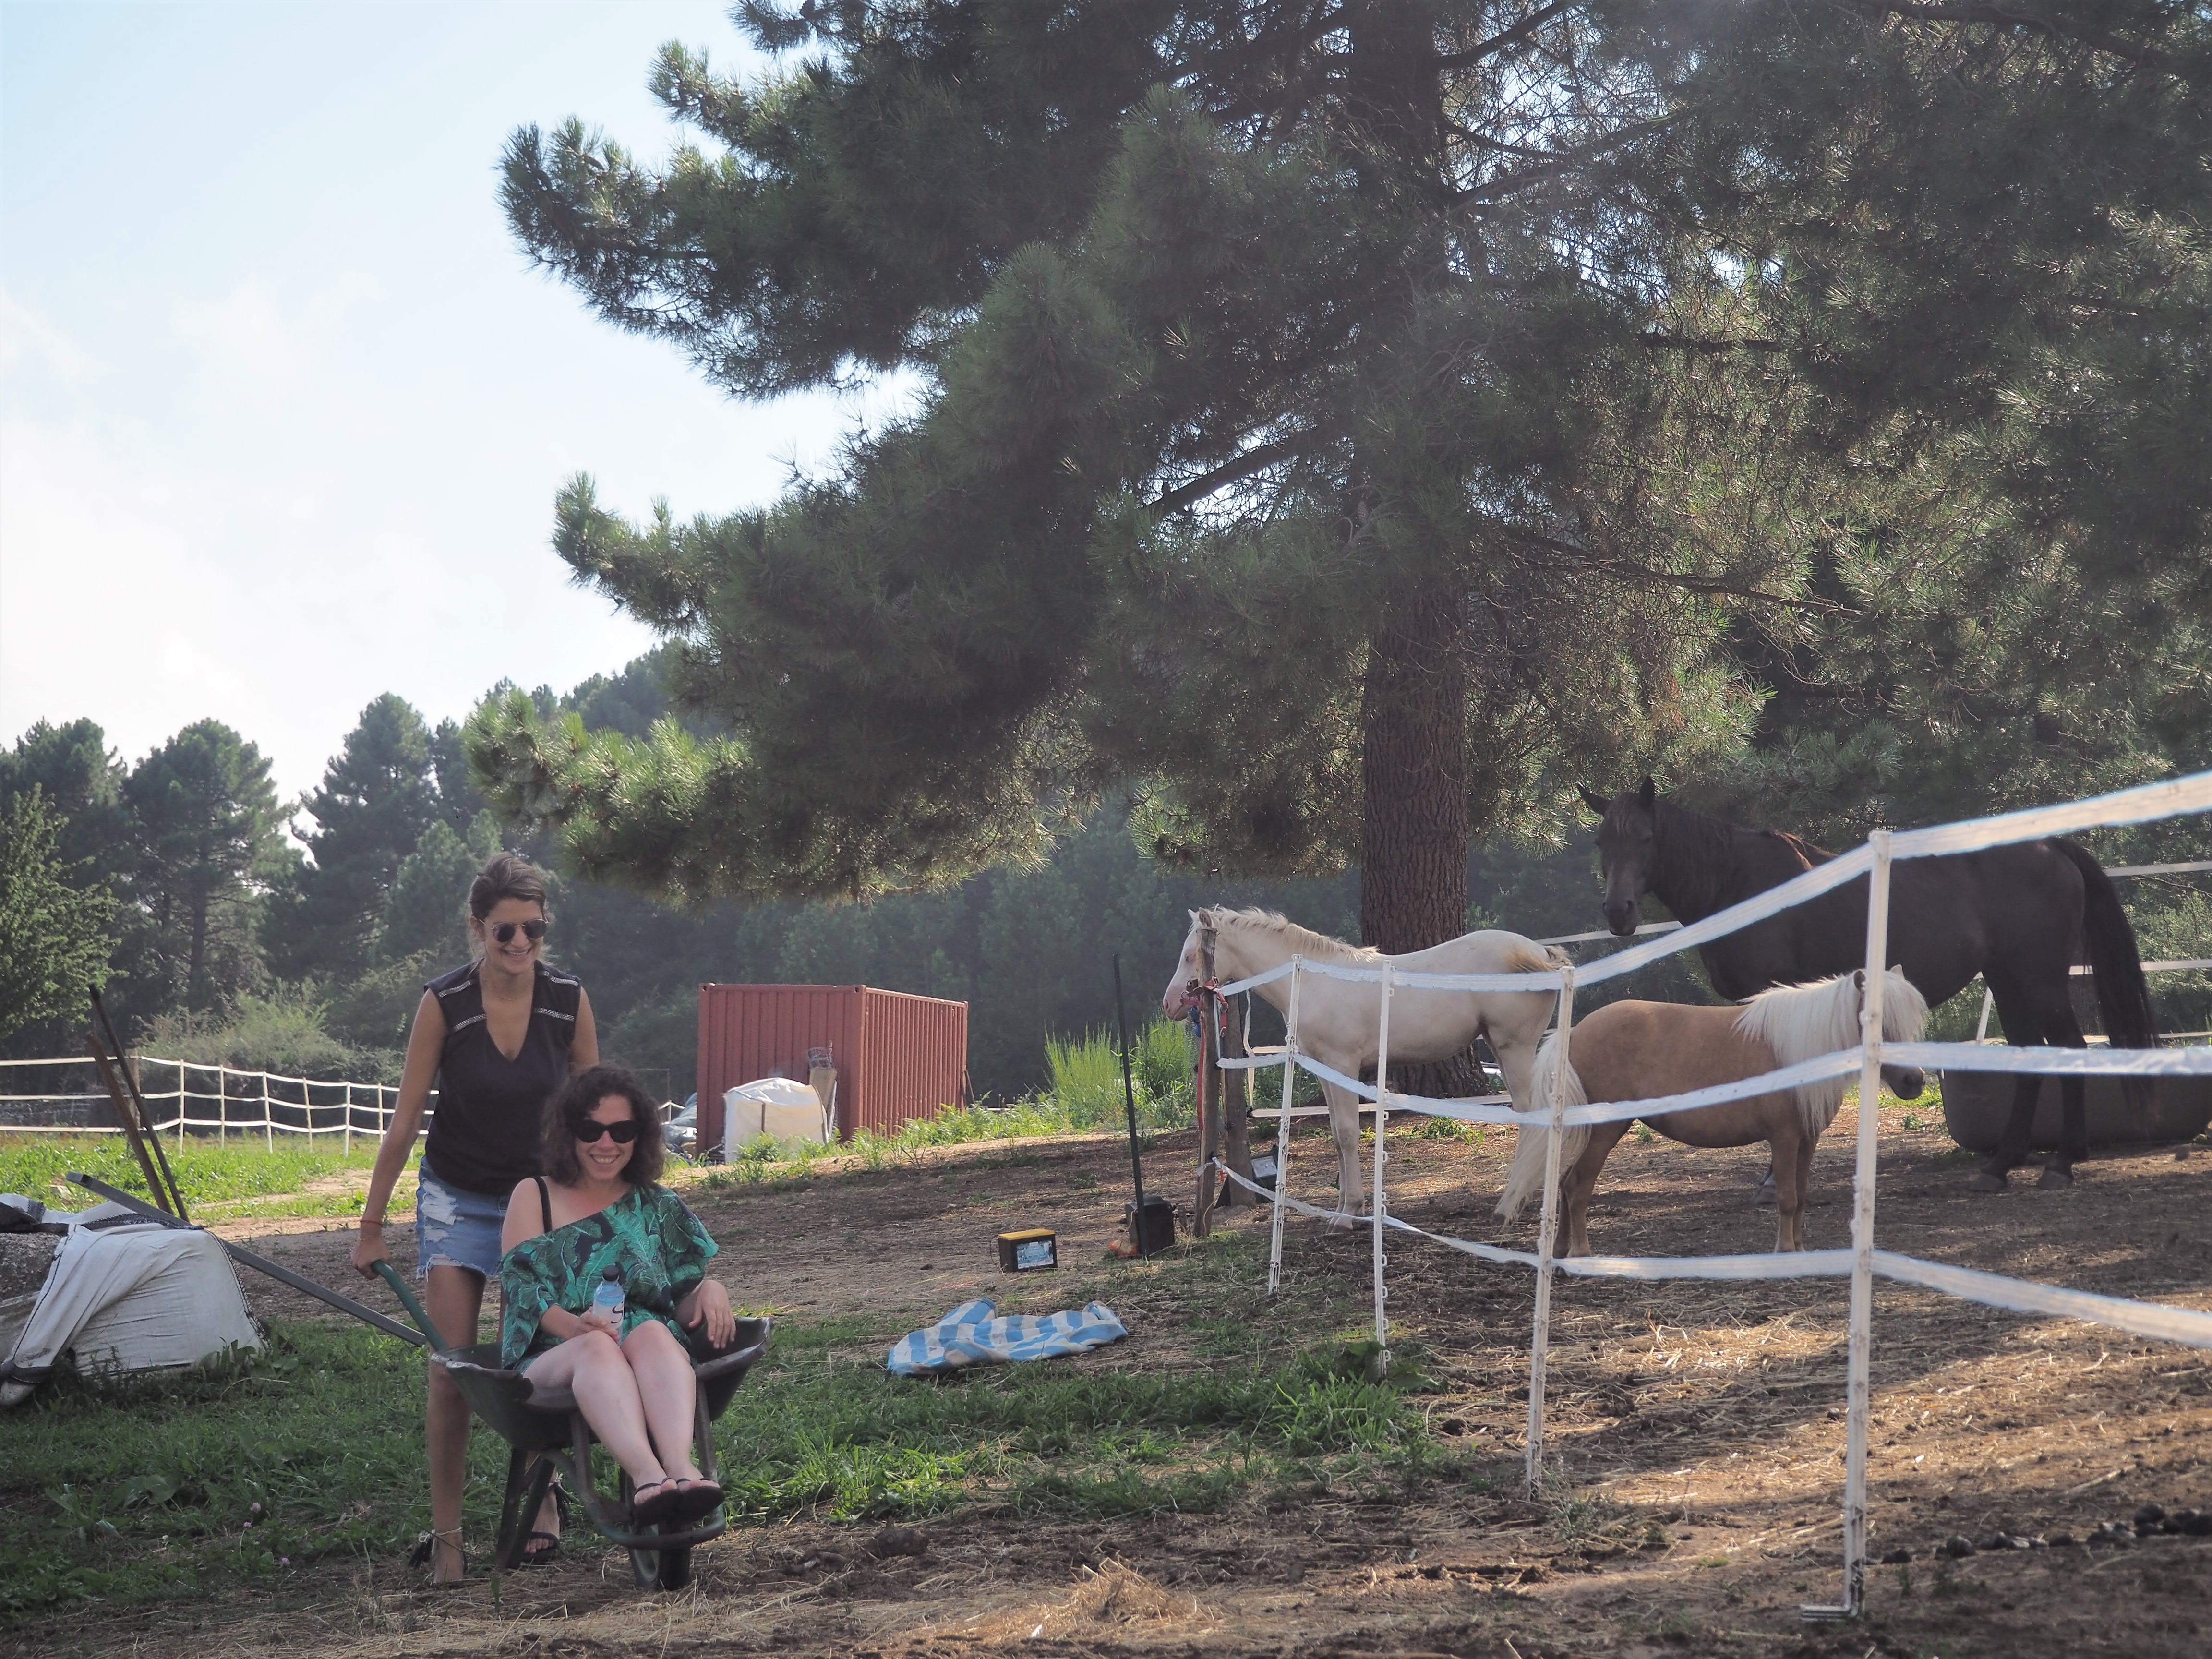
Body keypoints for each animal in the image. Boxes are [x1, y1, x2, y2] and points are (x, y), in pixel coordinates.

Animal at [1168, 915, 1566, 1230]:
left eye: (1190, 955)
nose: (1169, 1003)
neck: (1315, 982)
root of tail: (1542, 954)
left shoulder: (1342, 1064)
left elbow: (1347, 1134)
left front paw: (1348, 1215)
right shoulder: (1327, 1071)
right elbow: (1336, 1134)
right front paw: (1345, 1209)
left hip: (1514, 1048)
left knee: (1533, 1118)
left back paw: (1509, 1206)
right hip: (1503, 1048)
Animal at [1495, 969, 1929, 1256]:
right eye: (1877, 1021)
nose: (1915, 1080)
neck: (1798, 1048)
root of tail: (1575, 1031)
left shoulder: (1807, 1140)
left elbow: (1803, 1196)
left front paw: (1800, 1250)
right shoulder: (1785, 1138)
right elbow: (1787, 1198)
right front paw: (1784, 1251)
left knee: (1563, 1185)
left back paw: (1561, 1251)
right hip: (1604, 1130)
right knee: (1577, 1187)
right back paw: (1582, 1253)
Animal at [1592, 783, 2159, 1194]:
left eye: (1646, 839)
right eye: (1602, 843)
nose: (1618, 912)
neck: (1741, 885)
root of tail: (2049, 845)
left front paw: (1776, 1178)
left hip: (2039, 981)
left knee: (2068, 1050)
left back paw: (2062, 1162)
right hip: (2009, 981)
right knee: (2028, 1061)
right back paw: (1999, 1165)